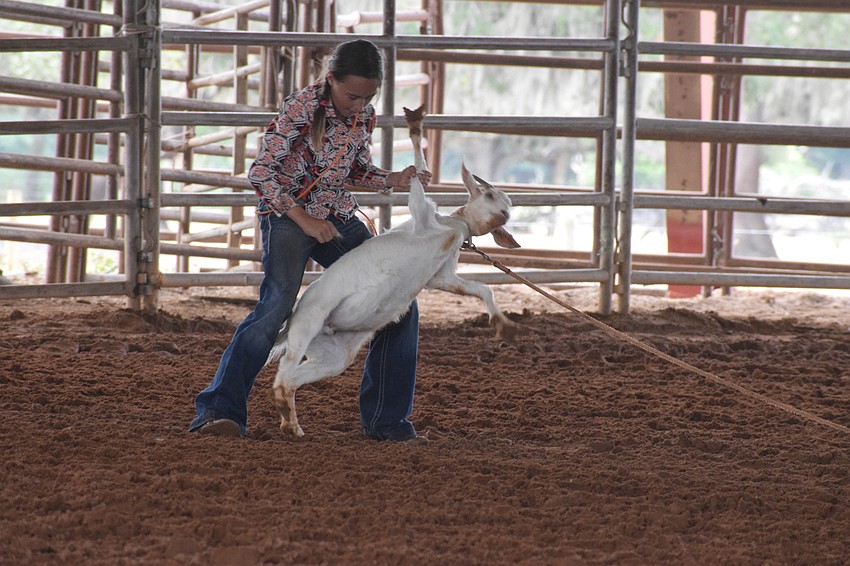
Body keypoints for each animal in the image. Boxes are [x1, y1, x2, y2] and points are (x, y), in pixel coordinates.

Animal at [265, 105, 520, 438]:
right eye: (489, 196)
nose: (502, 211)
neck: (454, 227)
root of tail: (296, 322)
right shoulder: (421, 216)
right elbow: (418, 182)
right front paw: (415, 123)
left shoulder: (443, 276)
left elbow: (481, 289)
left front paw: (505, 326)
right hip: (308, 323)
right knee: (284, 376)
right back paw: (288, 424)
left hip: (333, 356)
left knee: (292, 380)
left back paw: (292, 425)